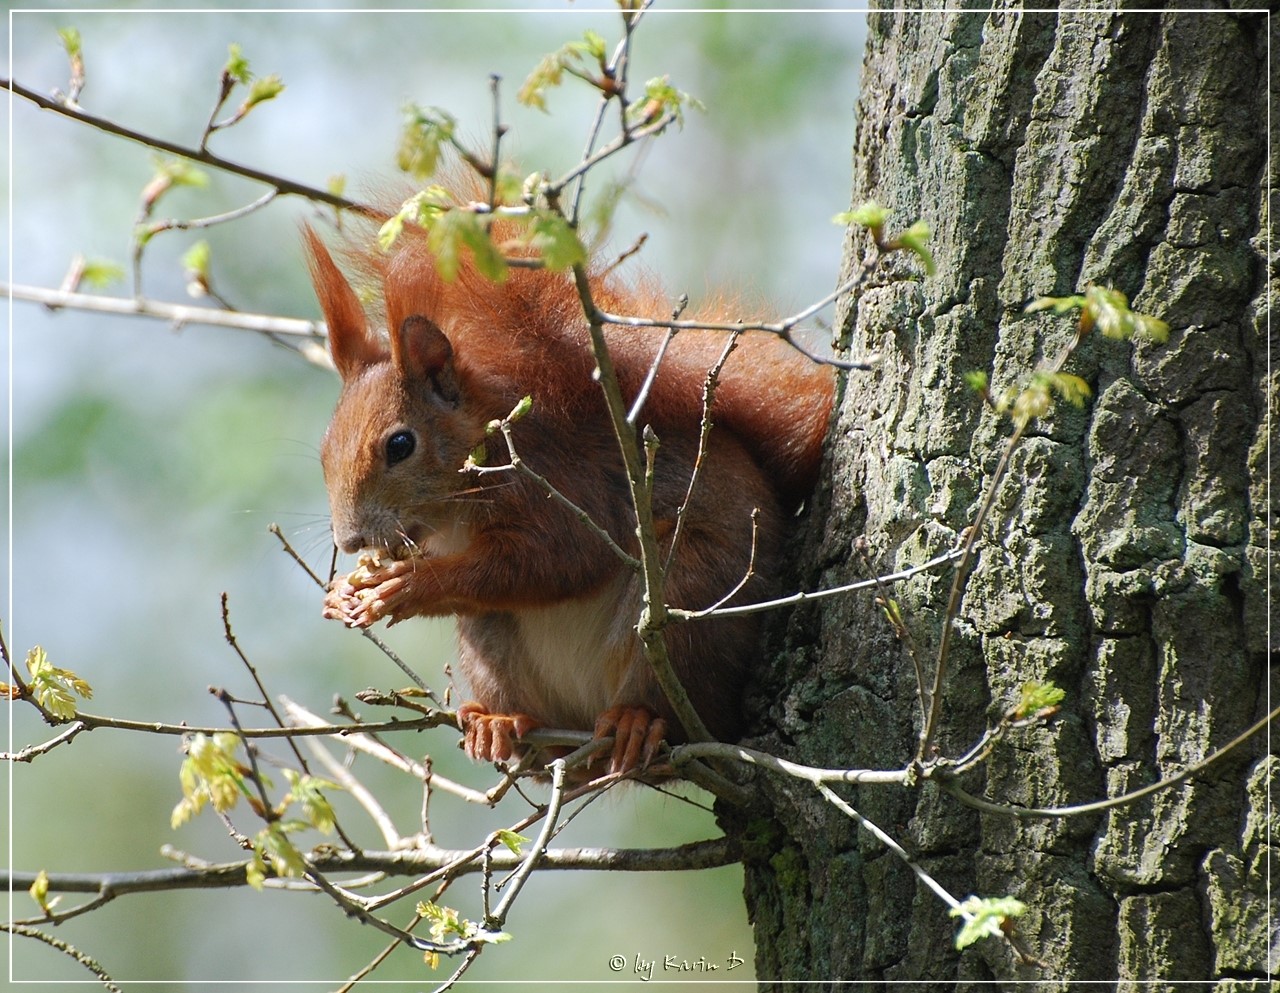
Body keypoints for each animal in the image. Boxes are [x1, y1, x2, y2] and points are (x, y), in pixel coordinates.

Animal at [305, 217, 834, 778]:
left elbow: (560, 560)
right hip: (490, 643)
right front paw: (341, 594)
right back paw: (501, 724)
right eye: (324, 450)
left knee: (671, 697)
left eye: (400, 445)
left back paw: (634, 721)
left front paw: (410, 585)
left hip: (691, 601)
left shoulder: (563, 486)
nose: (350, 539)